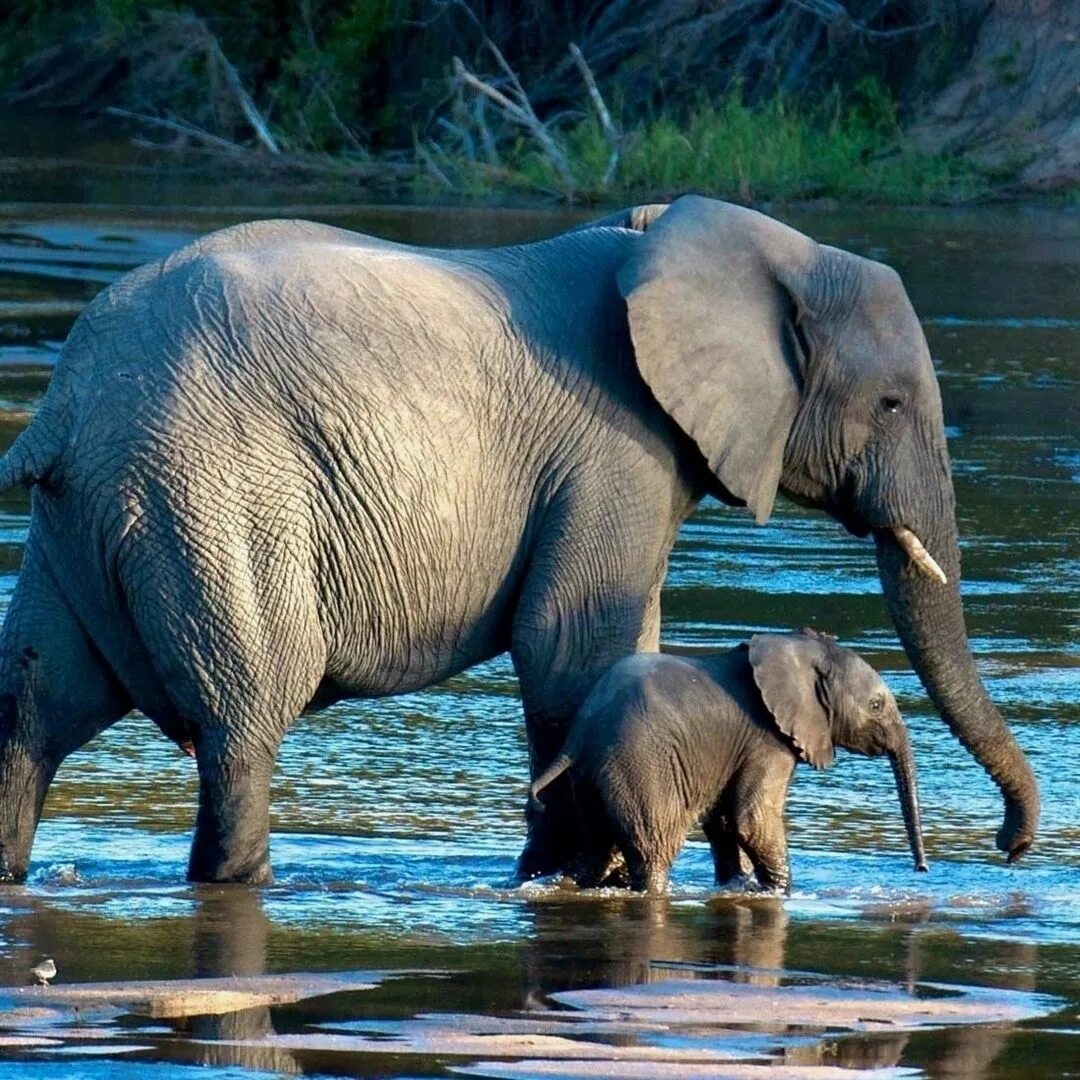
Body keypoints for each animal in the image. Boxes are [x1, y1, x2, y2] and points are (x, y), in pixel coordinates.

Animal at [529, 630, 928, 889]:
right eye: (875, 705)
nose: (922, 870)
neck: (801, 648)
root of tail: (580, 733)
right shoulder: (767, 740)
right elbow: (751, 820)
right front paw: (778, 892)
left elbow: (723, 821)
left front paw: (738, 885)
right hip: (639, 763)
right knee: (652, 848)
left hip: (593, 774)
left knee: (595, 848)